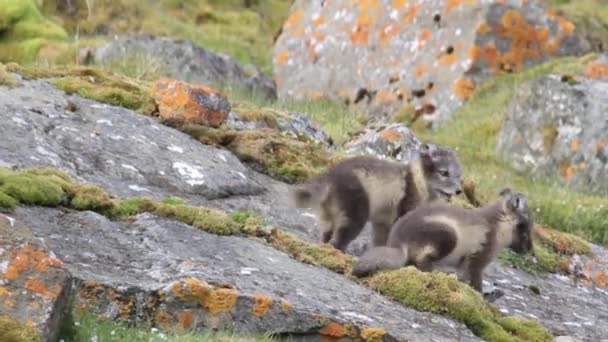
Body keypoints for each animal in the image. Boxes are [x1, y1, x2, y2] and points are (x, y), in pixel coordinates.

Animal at [288, 142, 460, 251]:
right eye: (444, 173)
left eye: (460, 176)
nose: (459, 191)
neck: (418, 182)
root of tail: (329, 177)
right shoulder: (405, 209)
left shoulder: (382, 224)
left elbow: (380, 241)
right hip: (355, 212)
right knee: (339, 239)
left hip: (327, 214)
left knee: (326, 235)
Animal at [350, 188, 536, 292]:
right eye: (526, 227)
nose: (532, 254)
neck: (496, 227)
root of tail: (398, 242)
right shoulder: (478, 258)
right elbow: (475, 282)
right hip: (448, 235)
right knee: (421, 260)